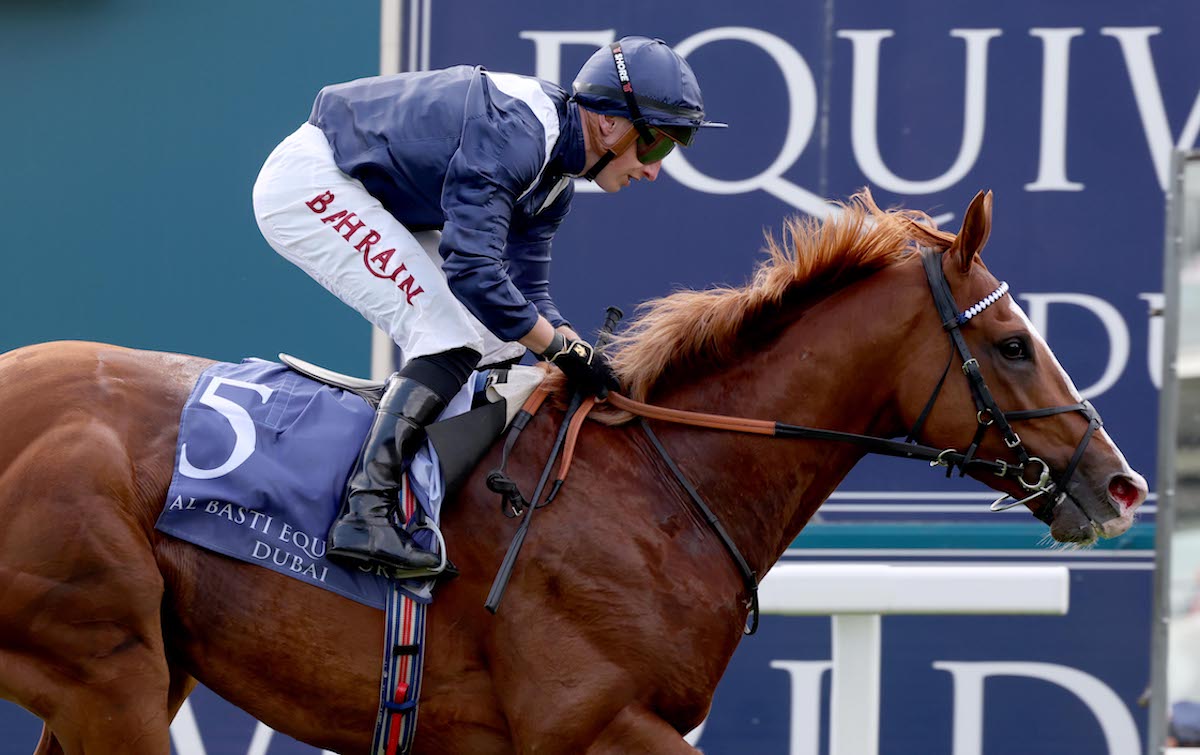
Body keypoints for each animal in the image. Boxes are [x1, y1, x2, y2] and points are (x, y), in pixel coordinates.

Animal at [0, 189, 1142, 753]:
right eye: (1011, 344)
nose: (1120, 482)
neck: (662, 492)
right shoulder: (589, 720)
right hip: (106, 666)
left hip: (136, 669)